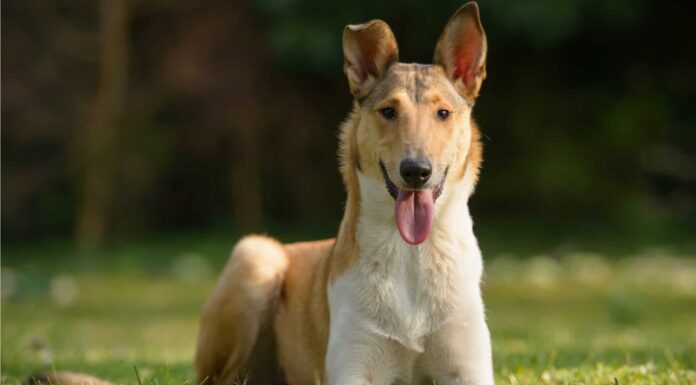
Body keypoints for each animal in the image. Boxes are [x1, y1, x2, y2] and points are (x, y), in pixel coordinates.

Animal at [193, 3, 492, 384]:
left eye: (443, 113)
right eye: (388, 111)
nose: (416, 171)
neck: (411, 253)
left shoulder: (468, 368)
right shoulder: (353, 367)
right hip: (256, 256)